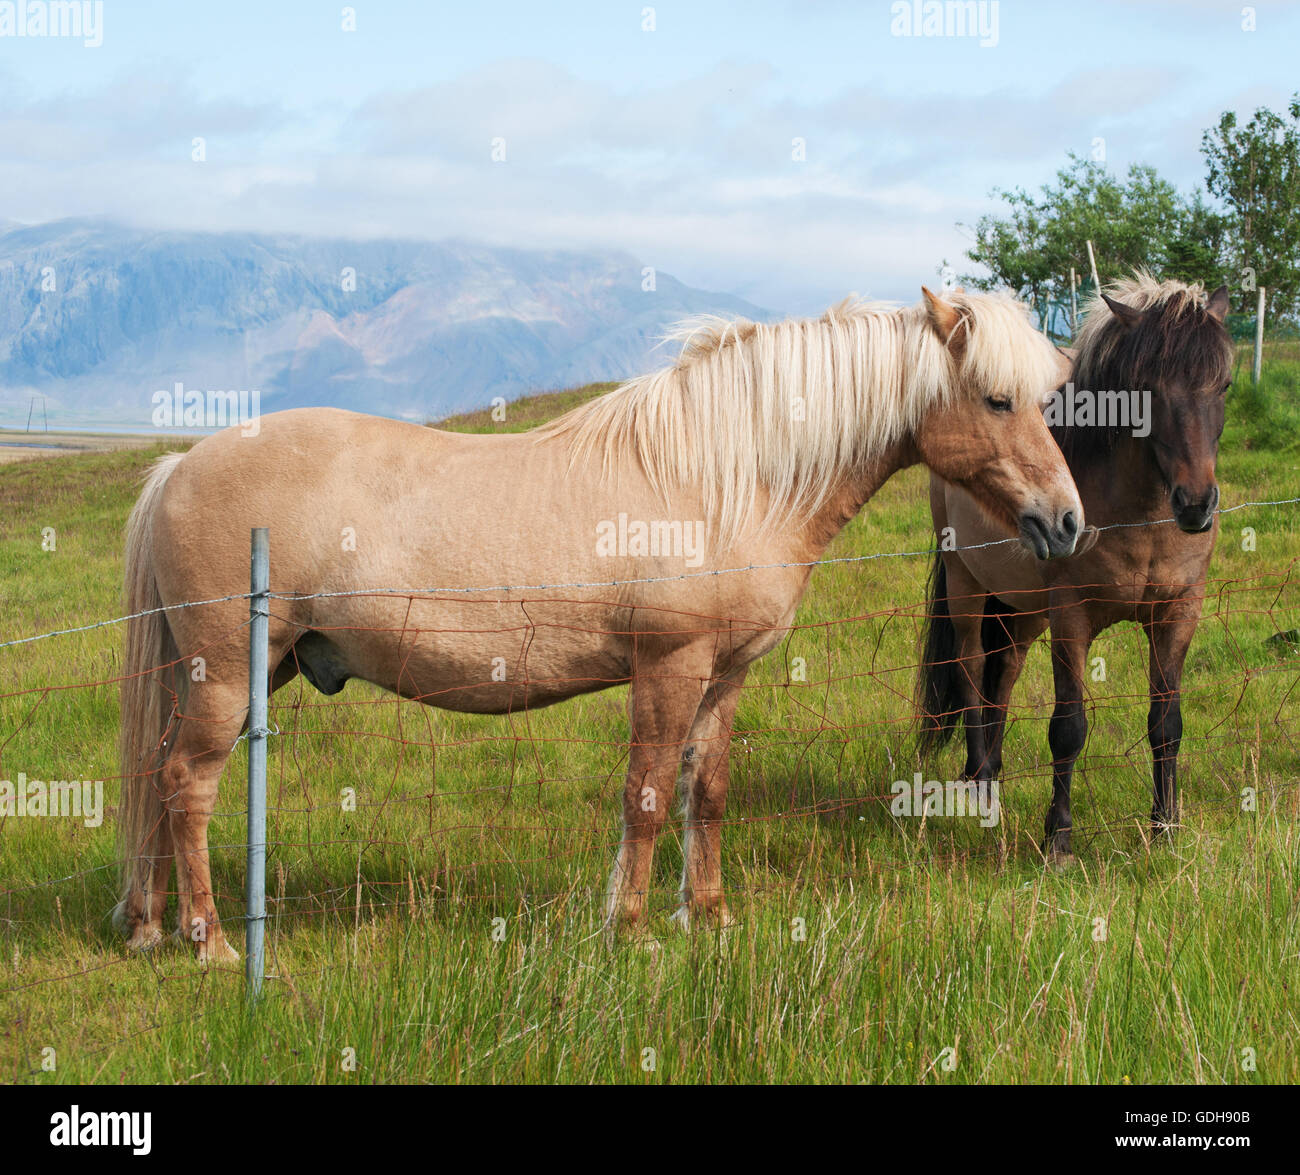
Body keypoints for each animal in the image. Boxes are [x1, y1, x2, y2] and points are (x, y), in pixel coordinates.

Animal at [115, 286, 1084, 963]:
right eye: (998, 400)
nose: (1067, 522)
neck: (727, 477)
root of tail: (178, 465)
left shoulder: (725, 674)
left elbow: (707, 790)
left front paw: (711, 916)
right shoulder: (669, 666)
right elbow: (646, 796)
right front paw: (633, 927)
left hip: (249, 670)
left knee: (160, 781)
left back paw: (149, 925)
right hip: (225, 676)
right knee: (186, 784)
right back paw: (212, 942)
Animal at [918, 275, 1233, 861]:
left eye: (1223, 386)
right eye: (1147, 389)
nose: (1196, 505)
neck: (1140, 516)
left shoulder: (1178, 613)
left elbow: (1167, 722)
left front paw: (1165, 826)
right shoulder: (1072, 617)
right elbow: (1067, 728)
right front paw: (1059, 838)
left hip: (1021, 609)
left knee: (1004, 673)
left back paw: (992, 777)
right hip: (966, 585)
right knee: (971, 669)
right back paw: (978, 781)